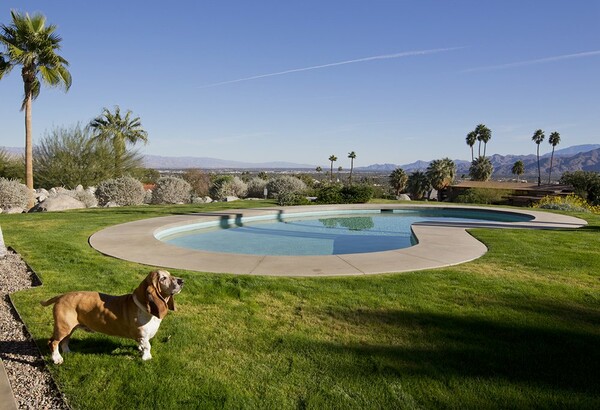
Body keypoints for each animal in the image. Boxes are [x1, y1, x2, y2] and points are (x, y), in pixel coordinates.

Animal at [40, 270, 183, 364]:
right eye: (163, 278)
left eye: (170, 274)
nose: (181, 281)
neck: (143, 306)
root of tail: (61, 296)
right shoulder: (142, 336)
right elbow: (147, 346)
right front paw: (147, 358)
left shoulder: (141, 337)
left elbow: (142, 345)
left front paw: (140, 350)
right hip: (63, 327)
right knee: (53, 342)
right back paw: (57, 359)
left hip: (70, 328)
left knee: (65, 341)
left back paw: (67, 352)